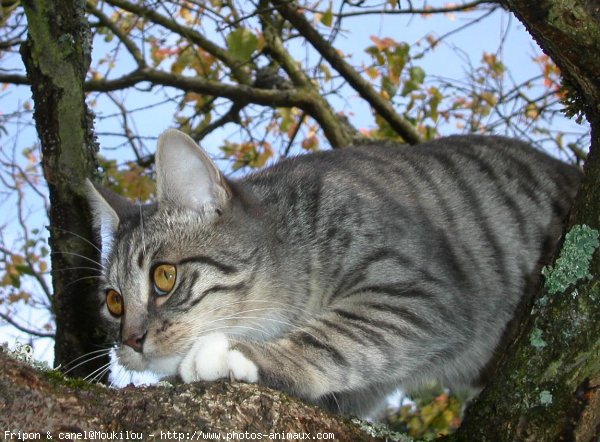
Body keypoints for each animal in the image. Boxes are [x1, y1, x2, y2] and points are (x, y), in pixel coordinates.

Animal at [88, 129, 580, 416]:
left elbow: (336, 337)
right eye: (113, 302)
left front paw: (239, 353)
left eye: (164, 277)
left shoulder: (423, 293)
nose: (130, 340)